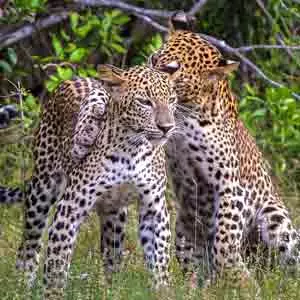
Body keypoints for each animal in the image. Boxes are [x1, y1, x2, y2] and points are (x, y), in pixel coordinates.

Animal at [0, 63, 180, 298]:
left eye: (172, 99)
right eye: (144, 102)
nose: (167, 127)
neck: (132, 150)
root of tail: (71, 79)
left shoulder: (154, 207)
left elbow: (159, 259)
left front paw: (162, 292)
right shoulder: (70, 207)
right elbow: (57, 262)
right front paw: (53, 294)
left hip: (115, 216)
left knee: (112, 258)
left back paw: (112, 290)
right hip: (41, 192)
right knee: (29, 245)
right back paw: (21, 286)